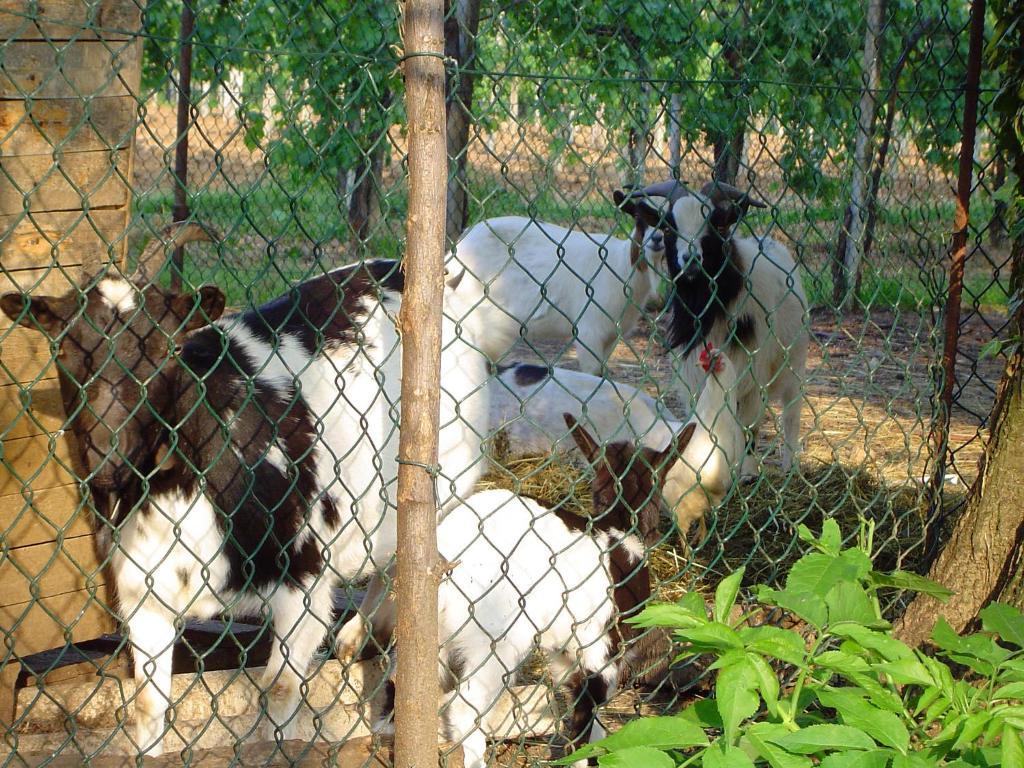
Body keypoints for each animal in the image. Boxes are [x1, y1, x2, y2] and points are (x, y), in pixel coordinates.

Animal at [0, 230, 487, 757]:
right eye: (64, 349)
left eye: (162, 348)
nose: (107, 459)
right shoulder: (143, 593)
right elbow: (147, 706)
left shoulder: (303, 578)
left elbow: (280, 690)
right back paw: (359, 636)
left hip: (446, 479)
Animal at [444, 217, 667, 376]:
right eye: (640, 222)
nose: (657, 239)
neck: (619, 264)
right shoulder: (589, 331)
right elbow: (594, 373)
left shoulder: (611, 335)